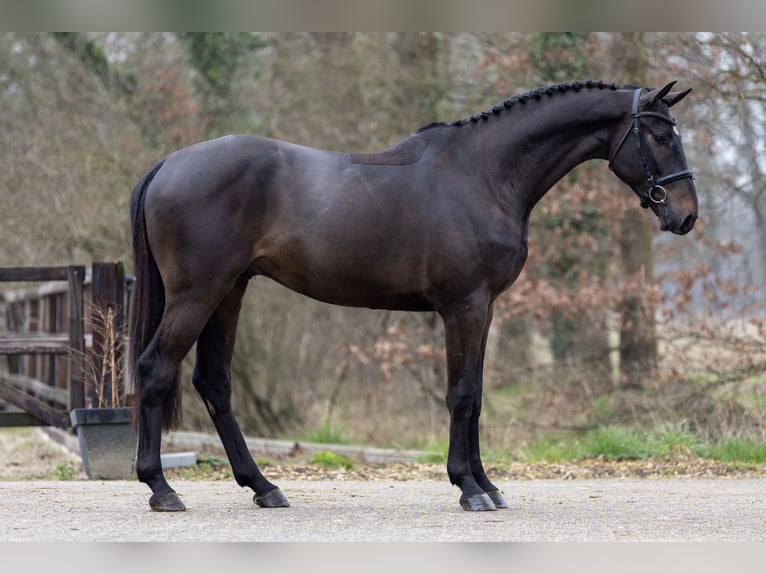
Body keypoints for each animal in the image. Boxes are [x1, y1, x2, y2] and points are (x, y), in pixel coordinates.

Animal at [128, 80, 698, 512]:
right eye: (660, 134)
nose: (686, 215)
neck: (484, 173)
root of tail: (167, 164)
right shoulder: (463, 307)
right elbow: (461, 395)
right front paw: (469, 488)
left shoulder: (485, 309)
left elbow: (476, 395)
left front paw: (487, 484)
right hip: (198, 293)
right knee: (156, 369)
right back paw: (161, 488)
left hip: (229, 292)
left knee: (214, 383)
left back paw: (264, 487)